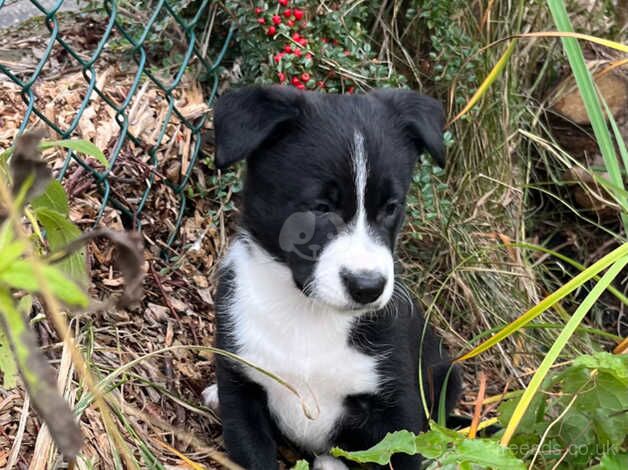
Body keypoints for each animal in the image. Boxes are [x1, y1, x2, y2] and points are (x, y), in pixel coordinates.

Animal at [206, 86, 462, 468]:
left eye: (391, 207)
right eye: (321, 207)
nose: (367, 287)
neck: (307, 316)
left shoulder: (399, 407)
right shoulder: (241, 385)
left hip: (446, 375)